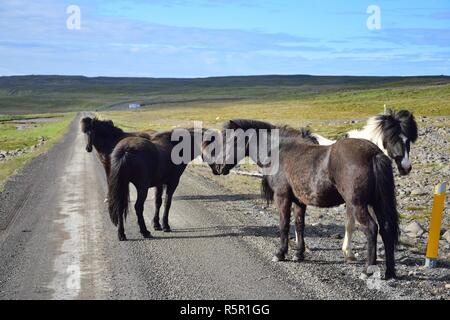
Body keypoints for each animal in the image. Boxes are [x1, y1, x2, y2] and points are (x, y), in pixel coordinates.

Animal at [213, 119, 400, 278]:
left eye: (229, 140)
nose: (217, 167)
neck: (279, 151)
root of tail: (374, 153)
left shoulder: (282, 198)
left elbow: (284, 225)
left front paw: (280, 253)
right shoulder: (299, 202)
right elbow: (299, 225)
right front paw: (299, 254)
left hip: (357, 205)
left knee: (371, 229)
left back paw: (367, 270)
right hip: (377, 203)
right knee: (386, 229)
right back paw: (390, 272)